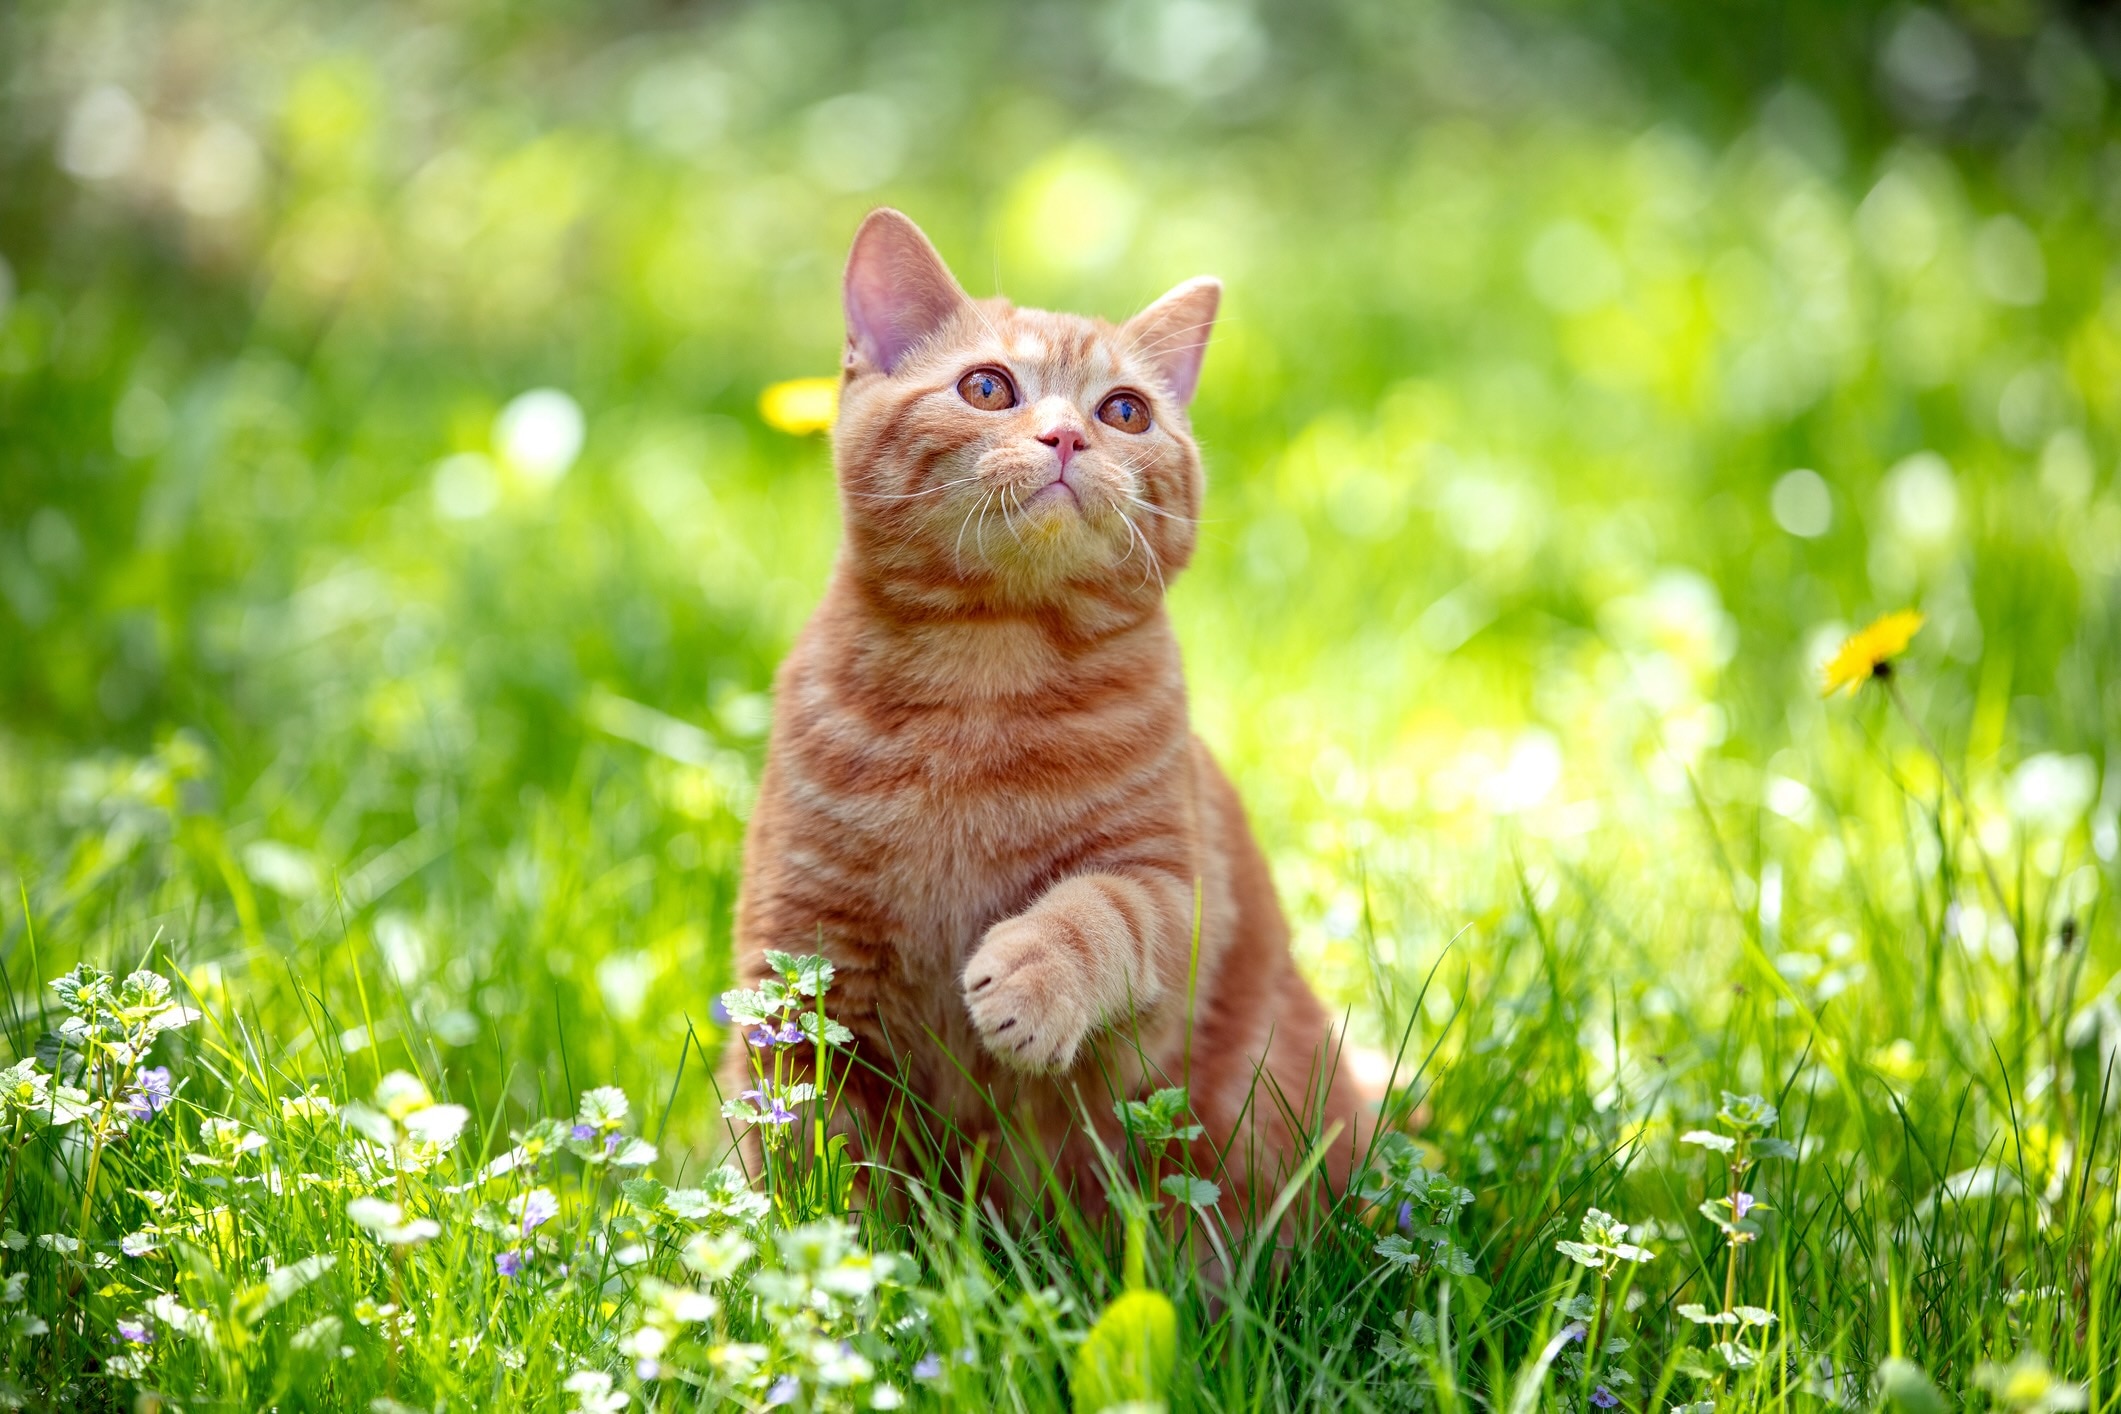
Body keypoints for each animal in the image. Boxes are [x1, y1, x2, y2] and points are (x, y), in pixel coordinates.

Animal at [729, 207, 1374, 1221]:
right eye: (987, 387)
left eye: (1124, 411)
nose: (1068, 436)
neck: (985, 676)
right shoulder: (798, 962)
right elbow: (814, 1167)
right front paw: (817, 1251)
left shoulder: (1174, 895)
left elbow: (1097, 909)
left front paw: (1031, 980)